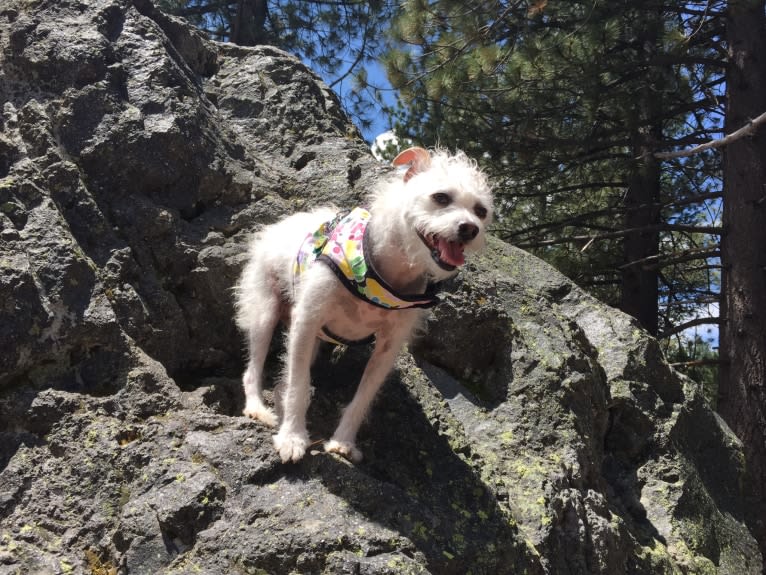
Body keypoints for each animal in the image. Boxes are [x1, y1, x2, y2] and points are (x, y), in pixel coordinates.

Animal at [237, 148, 496, 464]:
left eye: (481, 211)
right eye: (441, 197)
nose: (470, 229)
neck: (383, 273)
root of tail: (281, 224)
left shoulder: (388, 347)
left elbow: (362, 397)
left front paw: (343, 442)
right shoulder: (307, 320)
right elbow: (298, 385)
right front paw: (292, 437)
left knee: (282, 381)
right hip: (264, 312)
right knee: (254, 369)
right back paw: (258, 409)